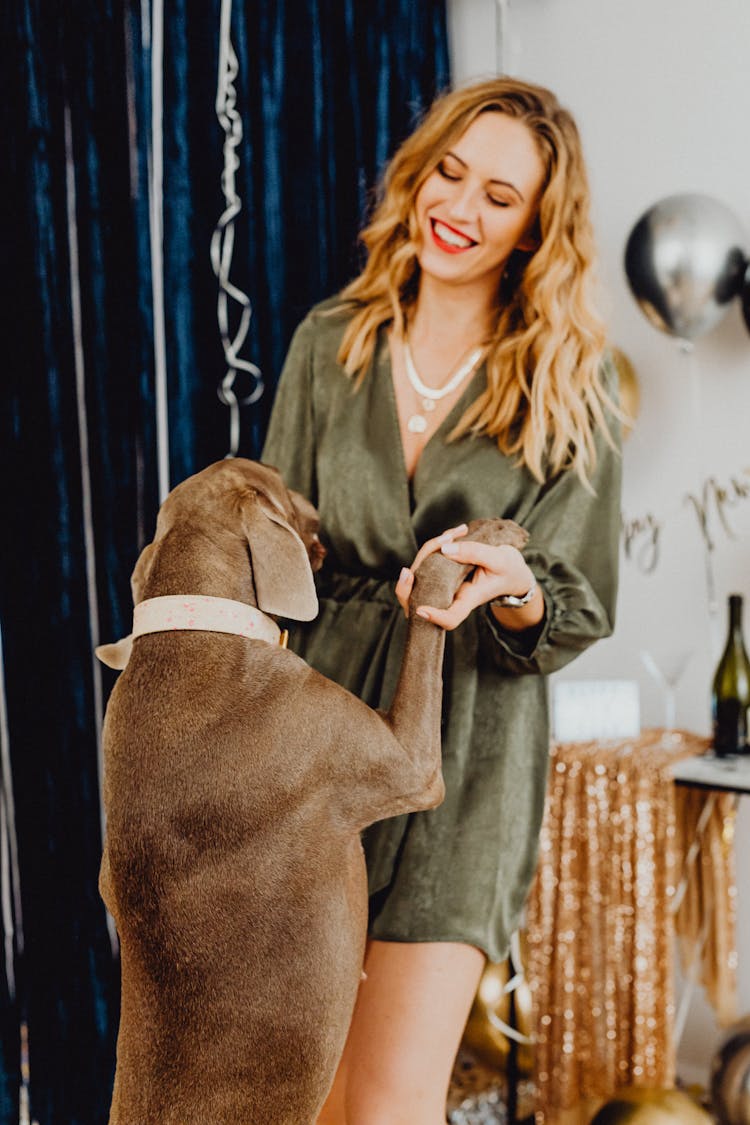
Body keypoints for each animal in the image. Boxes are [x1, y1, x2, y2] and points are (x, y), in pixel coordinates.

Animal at [95, 459, 528, 1125]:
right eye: (279, 479)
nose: (322, 512)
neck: (199, 624)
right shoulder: (410, 763)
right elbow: (428, 596)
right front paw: (484, 534)